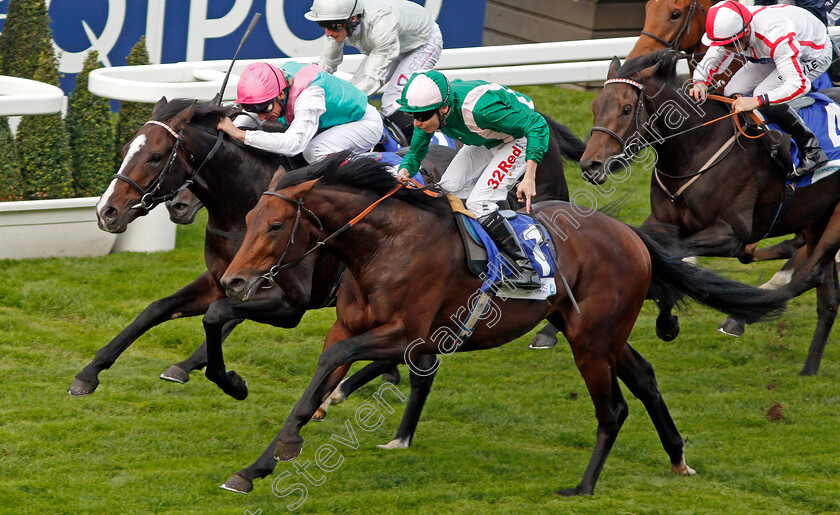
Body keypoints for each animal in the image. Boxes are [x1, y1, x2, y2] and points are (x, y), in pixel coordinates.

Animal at [217, 153, 788, 496]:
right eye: (247, 220)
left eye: (275, 225)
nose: (233, 282)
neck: (384, 246)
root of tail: (631, 235)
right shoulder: (350, 327)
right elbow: (317, 378)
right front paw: (256, 466)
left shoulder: (408, 334)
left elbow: (336, 364)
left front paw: (284, 447)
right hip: (599, 333)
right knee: (645, 379)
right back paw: (677, 457)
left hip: (591, 341)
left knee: (614, 407)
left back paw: (583, 487)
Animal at [580, 51, 840, 374]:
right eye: (595, 106)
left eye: (627, 109)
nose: (589, 165)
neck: (698, 147)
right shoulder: (662, 220)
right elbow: (658, 251)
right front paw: (667, 321)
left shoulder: (730, 234)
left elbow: (674, 254)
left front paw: (668, 313)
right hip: (816, 218)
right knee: (827, 298)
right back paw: (808, 369)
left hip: (834, 220)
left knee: (809, 275)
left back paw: (746, 314)